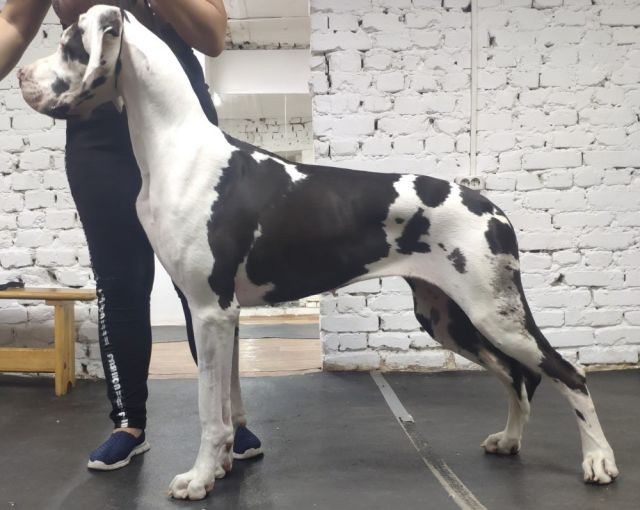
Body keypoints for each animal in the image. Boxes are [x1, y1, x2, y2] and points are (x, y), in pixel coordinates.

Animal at [18, 6, 618, 500]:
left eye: (69, 42)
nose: (20, 76)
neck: (176, 148)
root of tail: (491, 206)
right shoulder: (222, 315)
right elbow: (228, 403)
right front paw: (221, 468)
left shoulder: (209, 310)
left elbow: (209, 411)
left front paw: (198, 478)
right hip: (448, 317)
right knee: (517, 375)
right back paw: (510, 440)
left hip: (495, 313)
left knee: (567, 372)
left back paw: (598, 461)